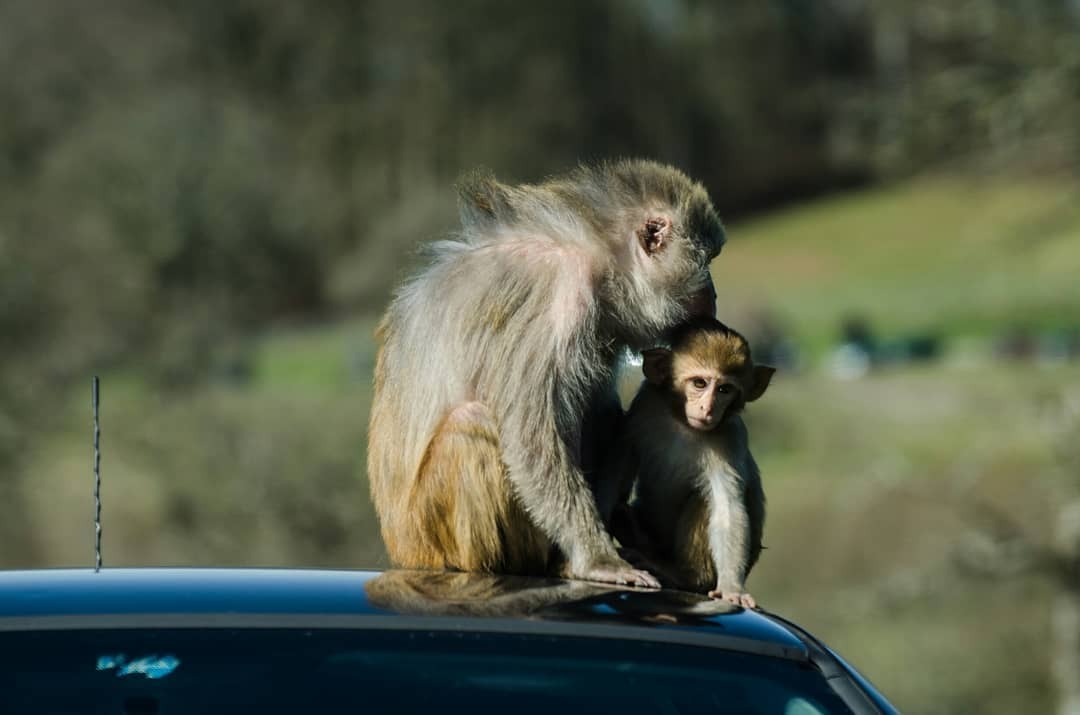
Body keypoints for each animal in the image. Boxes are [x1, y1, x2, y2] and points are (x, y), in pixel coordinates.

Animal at [365, 160, 725, 587]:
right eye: (706, 262)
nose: (715, 292)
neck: (601, 259)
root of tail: (401, 547)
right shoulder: (560, 300)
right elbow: (531, 438)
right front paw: (596, 558)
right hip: (431, 533)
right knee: (470, 424)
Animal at [600, 319, 777, 609]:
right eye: (699, 383)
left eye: (724, 389)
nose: (708, 408)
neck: (683, 423)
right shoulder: (645, 405)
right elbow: (619, 466)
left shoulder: (729, 437)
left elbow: (726, 508)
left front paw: (732, 588)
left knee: (702, 498)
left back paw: (685, 575)